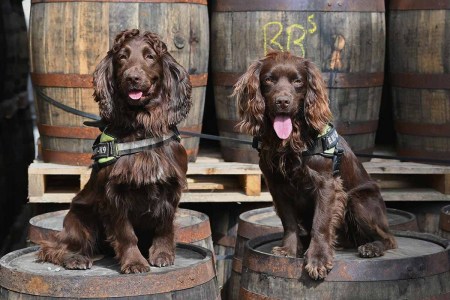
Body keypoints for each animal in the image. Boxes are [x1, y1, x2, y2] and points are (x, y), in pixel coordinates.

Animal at [37, 29, 192, 274]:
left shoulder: (171, 187)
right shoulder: (114, 194)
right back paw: (75, 258)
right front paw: (134, 262)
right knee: (55, 247)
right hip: (78, 217)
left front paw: (162, 254)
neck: (141, 128)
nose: (132, 78)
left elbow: (165, 226)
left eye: (150, 56)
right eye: (122, 57)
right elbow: (126, 234)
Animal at [234, 51, 396, 278]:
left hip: (358, 200)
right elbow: (289, 221)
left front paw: (318, 259)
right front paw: (289, 249)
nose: (282, 101)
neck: (291, 142)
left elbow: (321, 222)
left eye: (297, 81)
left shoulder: (327, 184)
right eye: (268, 80)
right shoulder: (277, 186)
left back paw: (371, 247)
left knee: (388, 238)